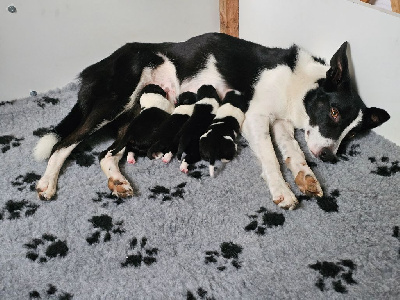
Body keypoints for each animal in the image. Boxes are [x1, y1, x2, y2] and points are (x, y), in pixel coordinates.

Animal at [32, 32, 390, 210]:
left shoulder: (282, 124)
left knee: (108, 153)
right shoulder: (256, 119)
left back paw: (118, 181)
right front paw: (283, 191)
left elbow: (295, 153)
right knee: (65, 143)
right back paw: (47, 184)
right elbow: (273, 160)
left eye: (351, 134)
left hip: (134, 112)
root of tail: (98, 65)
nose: (329, 157)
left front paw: (307, 178)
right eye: (334, 113)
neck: (300, 84)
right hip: (115, 99)